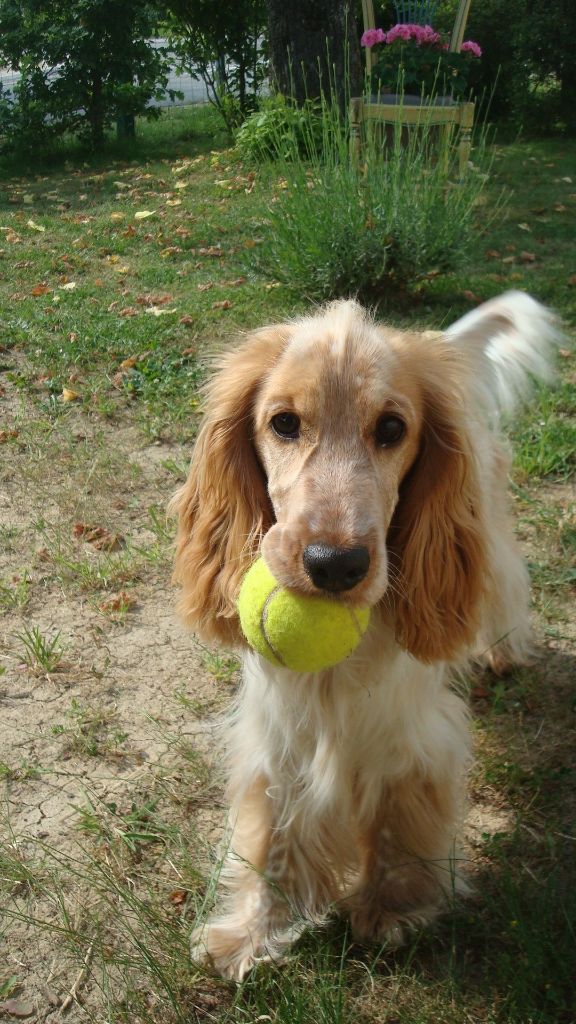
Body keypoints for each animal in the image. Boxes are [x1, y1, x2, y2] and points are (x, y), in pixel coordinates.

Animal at [170, 292, 557, 978]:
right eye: (284, 423)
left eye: (392, 429)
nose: (334, 564)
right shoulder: (281, 731)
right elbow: (274, 829)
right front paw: (255, 930)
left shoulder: (408, 733)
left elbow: (400, 812)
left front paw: (395, 908)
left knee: (506, 582)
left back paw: (504, 650)